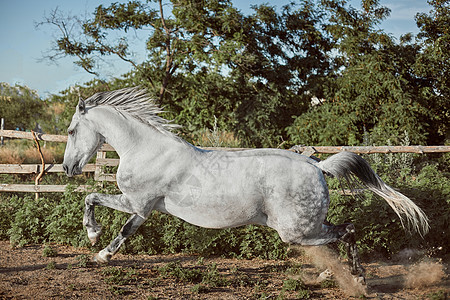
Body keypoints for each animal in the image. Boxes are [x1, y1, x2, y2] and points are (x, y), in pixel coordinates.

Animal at [63, 86, 428, 276]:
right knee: (343, 232)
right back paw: (337, 274)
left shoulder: (137, 203)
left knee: (346, 231)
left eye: (70, 131)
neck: (148, 149)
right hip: (306, 225)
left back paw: (355, 277)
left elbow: (95, 201)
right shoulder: (145, 209)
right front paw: (99, 246)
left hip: (294, 230)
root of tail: (317, 167)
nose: (67, 168)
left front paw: (96, 244)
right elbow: (117, 222)